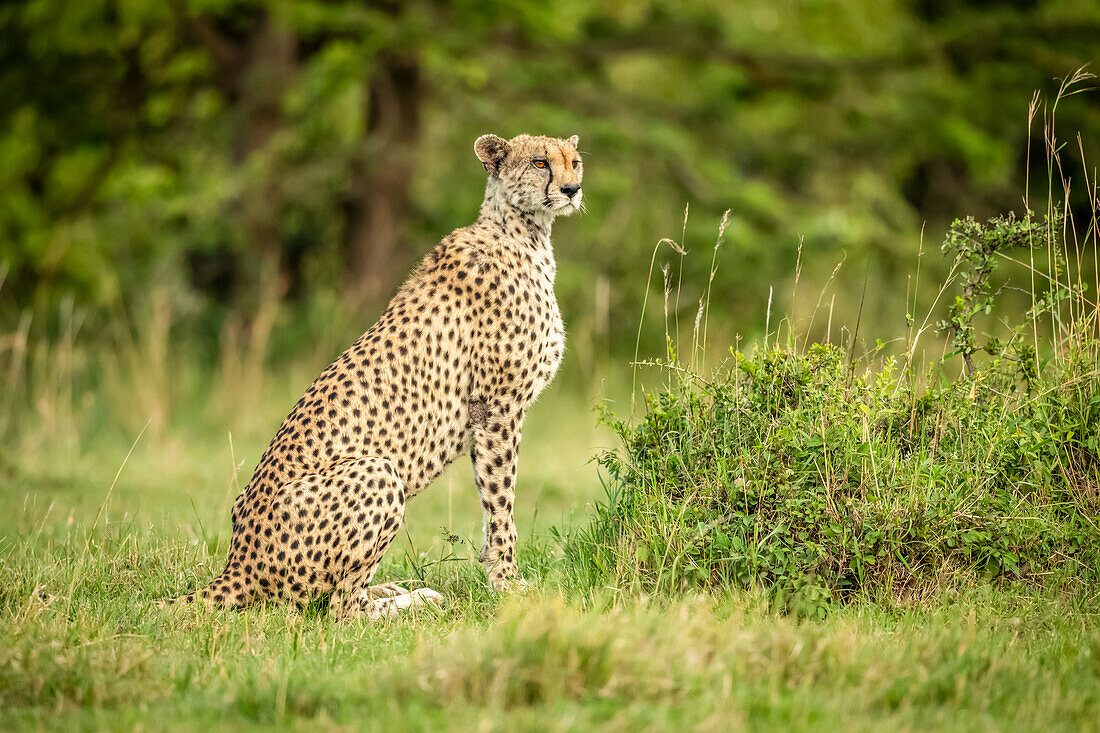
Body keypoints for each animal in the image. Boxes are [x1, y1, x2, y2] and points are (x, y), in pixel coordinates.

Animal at [161, 132, 585, 616]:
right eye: (540, 163)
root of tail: (237, 562)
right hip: (380, 470)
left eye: (574, 161)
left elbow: (495, 498)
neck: (524, 231)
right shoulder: (497, 407)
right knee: (340, 611)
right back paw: (412, 604)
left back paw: (393, 590)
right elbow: (501, 501)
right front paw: (508, 583)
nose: (572, 189)